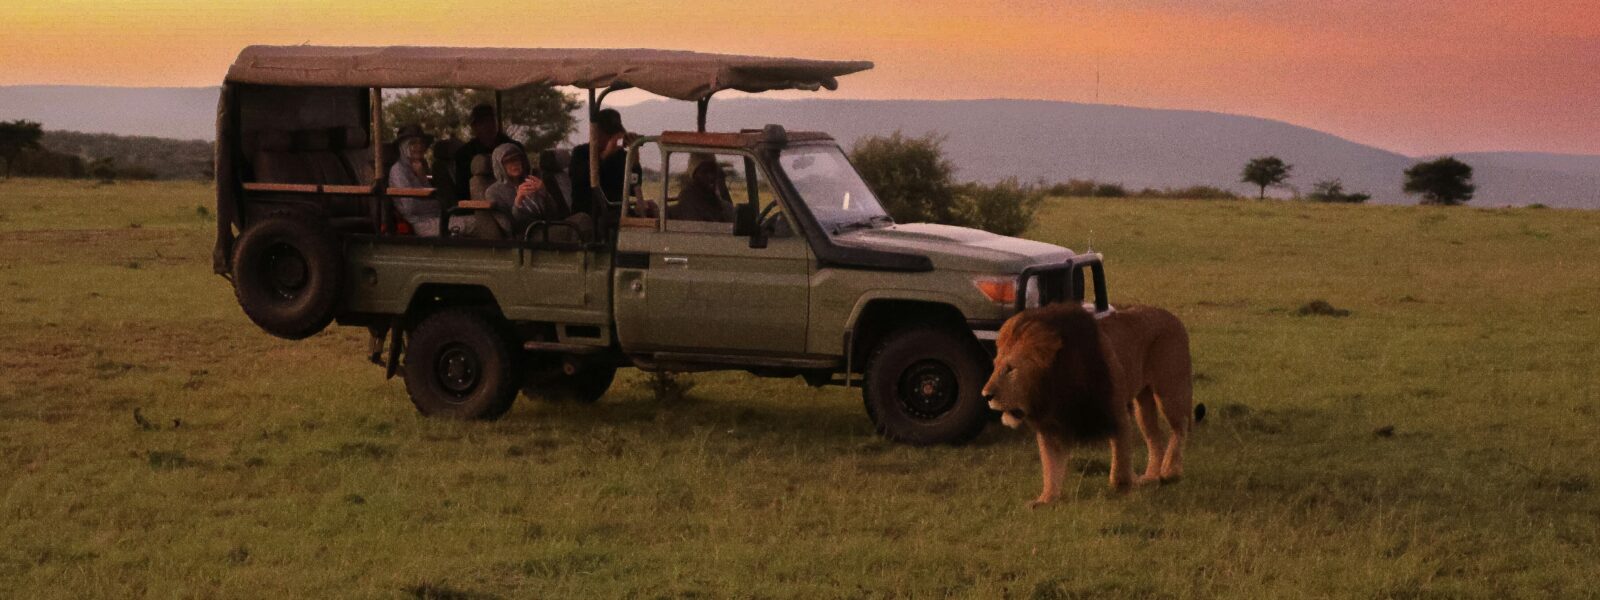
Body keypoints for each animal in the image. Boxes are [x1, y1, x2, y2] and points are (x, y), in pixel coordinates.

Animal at [981, 302, 1195, 507]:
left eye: (1010, 369)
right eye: (994, 366)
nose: (986, 395)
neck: (1053, 387)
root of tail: (1173, 317)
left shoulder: (1116, 412)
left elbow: (1121, 458)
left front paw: (1123, 486)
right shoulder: (1051, 425)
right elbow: (1051, 465)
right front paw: (1046, 499)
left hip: (1169, 391)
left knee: (1180, 427)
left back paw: (1170, 471)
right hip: (1143, 402)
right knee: (1155, 437)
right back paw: (1150, 477)